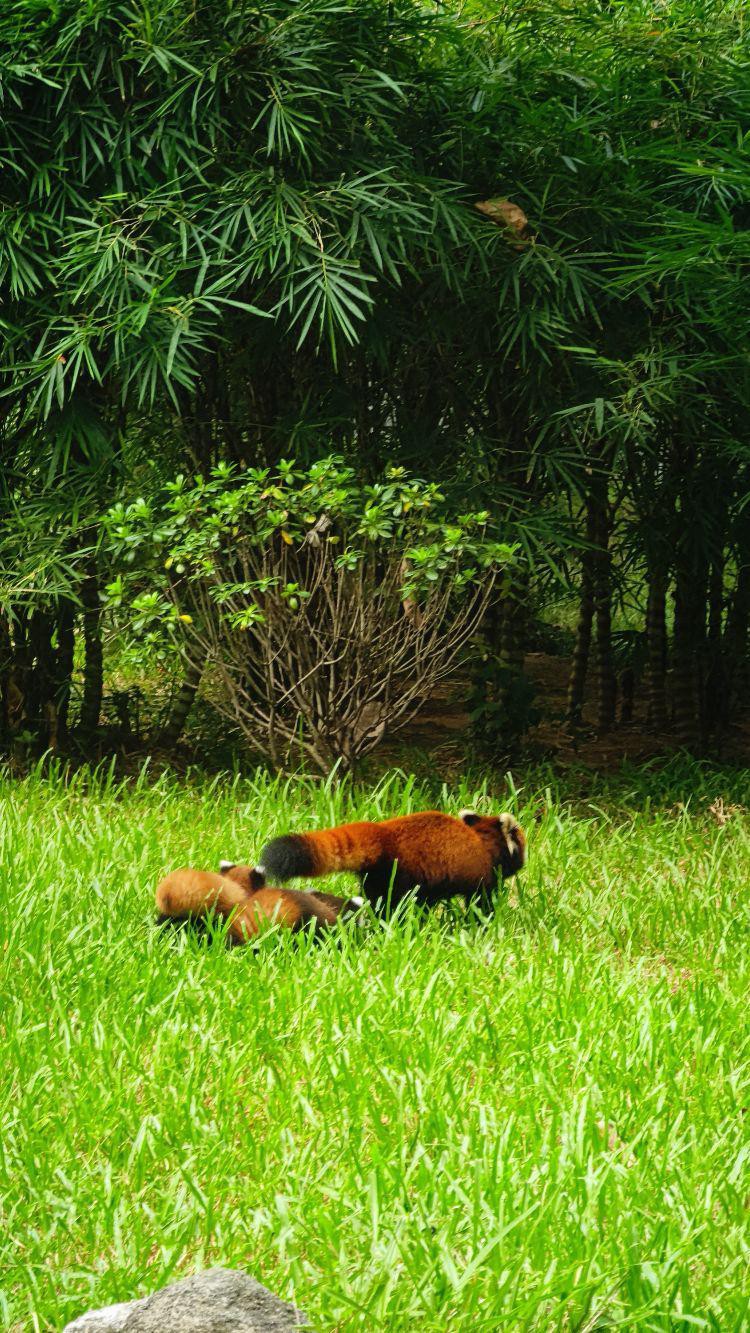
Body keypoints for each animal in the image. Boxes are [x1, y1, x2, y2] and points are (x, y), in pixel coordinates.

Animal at [258, 805, 527, 911]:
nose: (524, 863)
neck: (483, 842)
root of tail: (384, 833)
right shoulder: (481, 875)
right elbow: (480, 902)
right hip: (402, 873)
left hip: (378, 874)